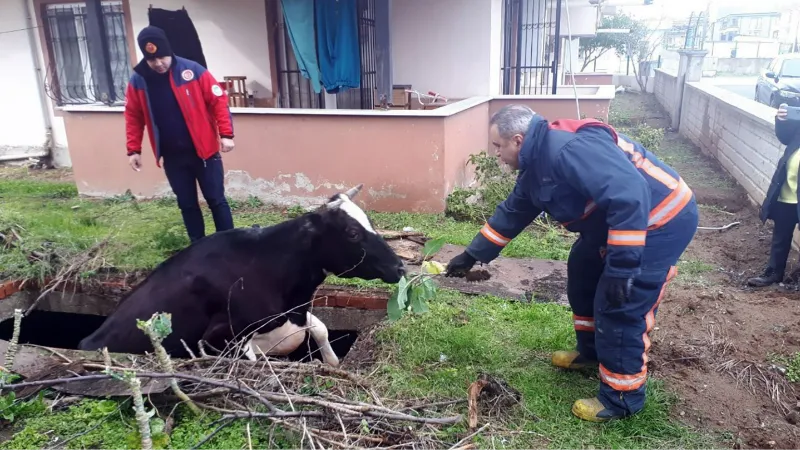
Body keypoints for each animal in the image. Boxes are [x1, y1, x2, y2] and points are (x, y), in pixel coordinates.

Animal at [77, 185, 404, 368]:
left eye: (369, 221)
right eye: (352, 232)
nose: (400, 267)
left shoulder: (296, 313)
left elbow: (321, 328)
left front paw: (333, 364)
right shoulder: (216, 339)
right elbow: (251, 358)